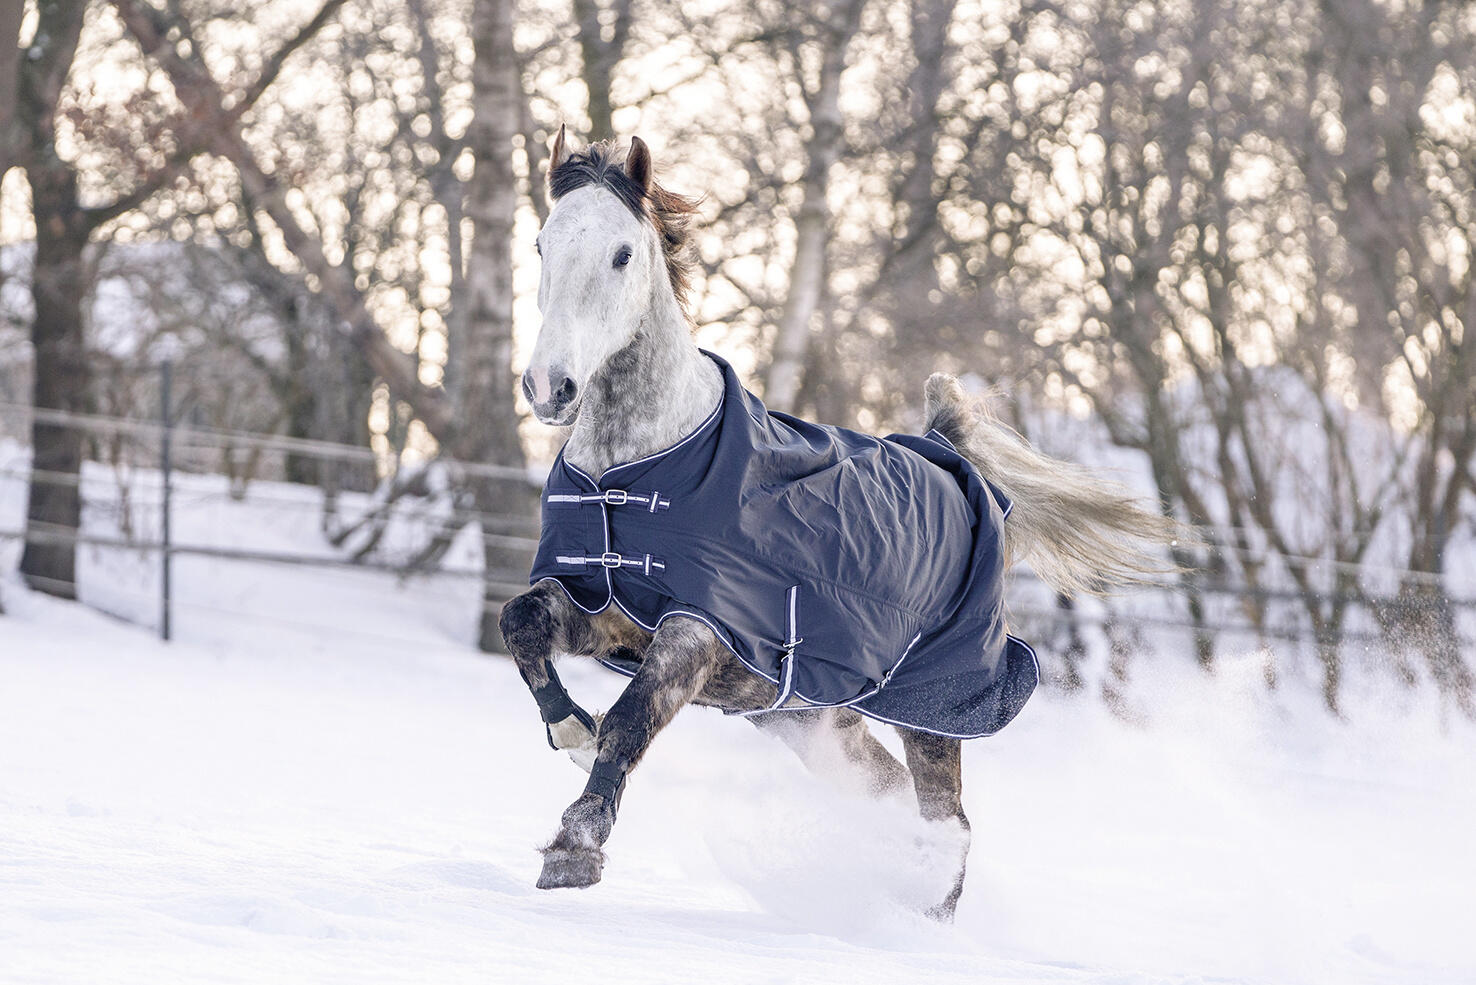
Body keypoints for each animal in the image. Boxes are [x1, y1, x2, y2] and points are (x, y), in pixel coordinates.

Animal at [498, 127, 1178, 920]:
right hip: (813, 719)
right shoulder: (605, 608)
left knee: (949, 822)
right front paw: (573, 731)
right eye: (541, 244)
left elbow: (633, 717)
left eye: (622, 253)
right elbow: (521, 623)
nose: (550, 386)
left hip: (933, 712)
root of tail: (953, 458)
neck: (636, 473)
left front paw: (575, 847)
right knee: (896, 798)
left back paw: (921, 919)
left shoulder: (701, 628)